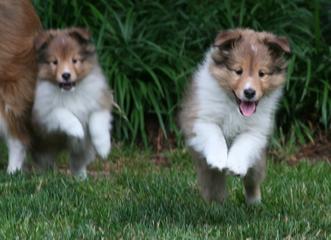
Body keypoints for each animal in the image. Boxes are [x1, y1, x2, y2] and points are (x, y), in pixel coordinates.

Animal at [32, 28, 114, 178]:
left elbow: (97, 122)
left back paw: (81, 179)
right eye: (55, 62)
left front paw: (103, 148)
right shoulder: (42, 116)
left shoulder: (100, 101)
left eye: (74, 60)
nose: (66, 75)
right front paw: (77, 130)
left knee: (77, 163)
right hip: (44, 149)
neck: (71, 92)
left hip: (83, 150)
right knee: (45, 164)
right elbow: (61, 112)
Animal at [180, 28, 292, 204]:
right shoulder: (201, 119)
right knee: (213, 183)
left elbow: (243, 144)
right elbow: (215, 134)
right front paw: (219, 159)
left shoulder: (255, 131)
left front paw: (235, 166)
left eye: (262, 73)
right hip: (205, 166)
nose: (249, 92)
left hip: (256, 162)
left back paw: (254, 203)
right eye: (238, 71)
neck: (234, 105)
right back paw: (215, 204)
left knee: (252, 182)